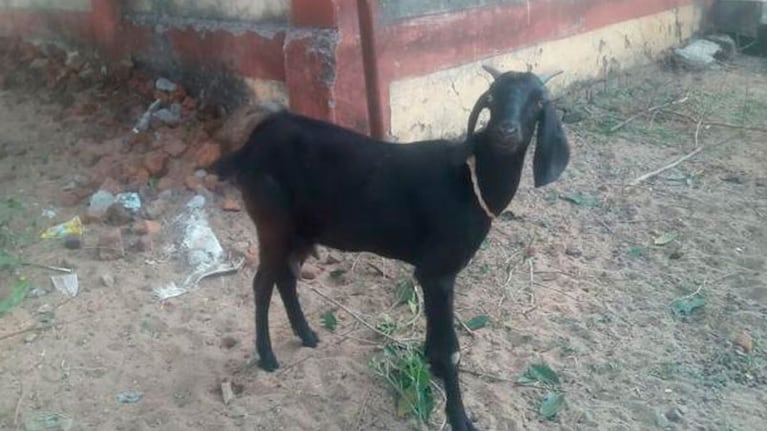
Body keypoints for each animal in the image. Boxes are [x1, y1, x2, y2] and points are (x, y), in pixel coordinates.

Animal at [210, 65, 570, 431]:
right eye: (493, 98)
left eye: (537, 102)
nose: (505, 131)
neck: (472, 183)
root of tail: (253, 143)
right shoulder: (439, 270)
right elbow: (451, 350)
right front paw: (459, 417)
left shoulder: (431, 274)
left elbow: (436, 335)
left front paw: (431, 368)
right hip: (272, 222)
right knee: (262, 283)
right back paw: (267, 356)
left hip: (300, 231)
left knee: (285, 276)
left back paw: (306, 334)